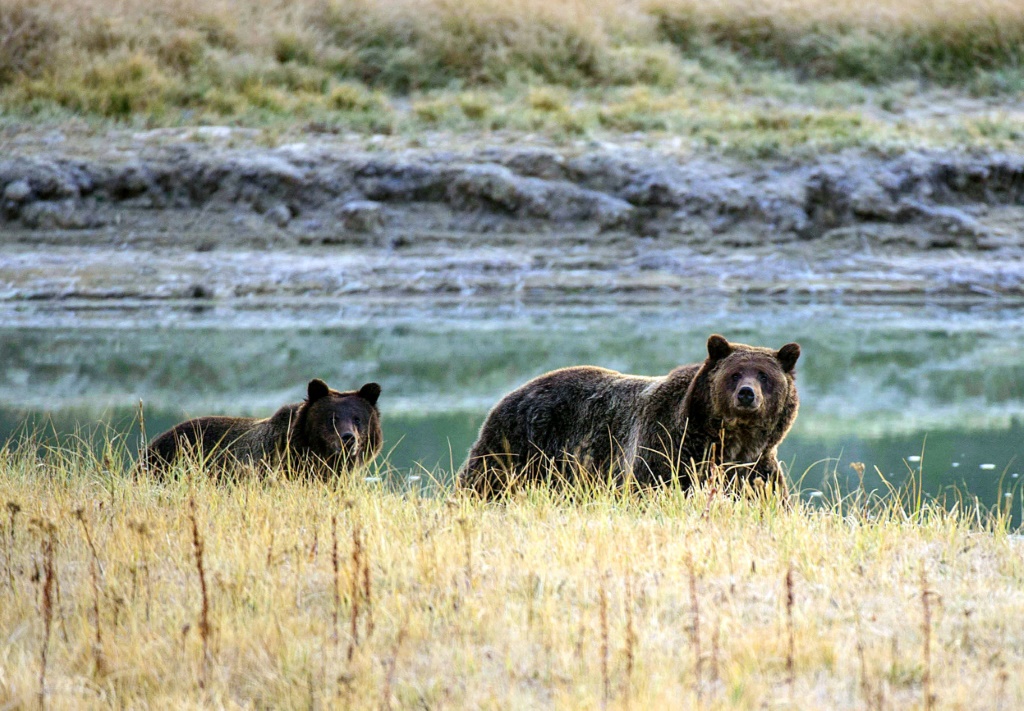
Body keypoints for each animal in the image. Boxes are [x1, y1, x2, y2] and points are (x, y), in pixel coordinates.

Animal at [460, 336, 802, 497]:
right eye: (734, 374)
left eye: (764, 375)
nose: (747, 394)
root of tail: (511, 393)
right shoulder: (665, 448)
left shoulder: (755, 468)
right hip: (518, 445)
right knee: (484, 481)